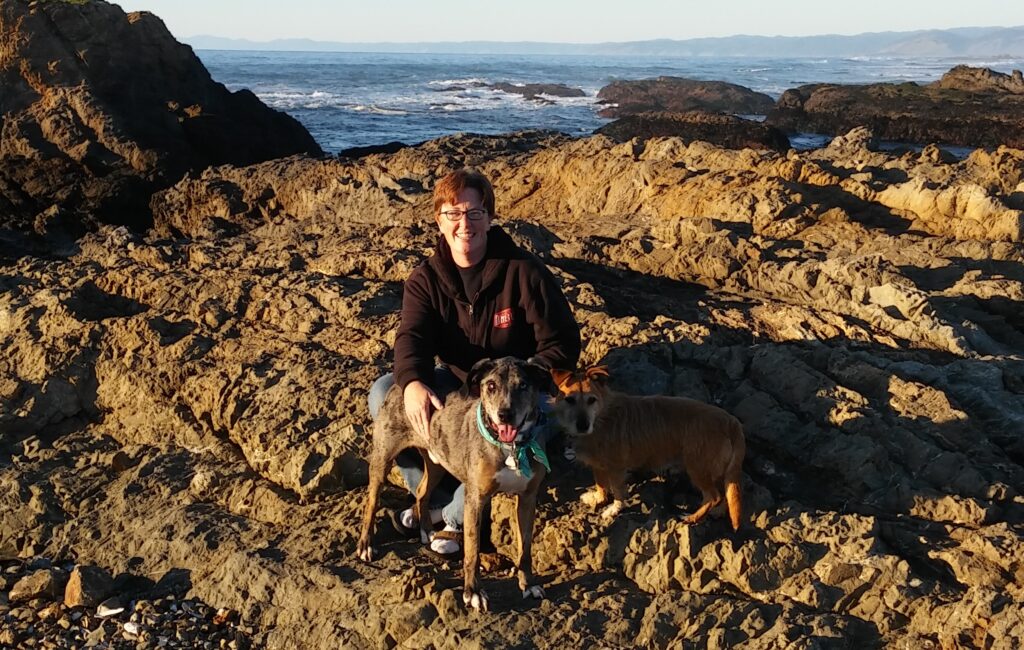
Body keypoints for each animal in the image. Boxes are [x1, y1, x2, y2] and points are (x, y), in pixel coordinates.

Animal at [358, 358, 552, 614]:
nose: (505, 415)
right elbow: (472, 551)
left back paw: (427, 530)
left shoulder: (528, 499)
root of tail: (402, 385)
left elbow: (525, 548)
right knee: (371, 502)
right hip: (383, 457)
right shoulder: (475, 499)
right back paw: (366, 545)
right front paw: (473, 593)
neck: (510, 447)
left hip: (437, 461)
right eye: (490, 386)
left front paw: (529, 585)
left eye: (523, 385)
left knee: (422, 491)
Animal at [552, 366, 745, 528]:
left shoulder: (616, 469)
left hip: (697, 467)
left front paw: (614, 509)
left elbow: (617, 492)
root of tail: (731, 421)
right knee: (723, 493)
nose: (582, 425)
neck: (601, 417)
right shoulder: (597, 466)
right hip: (714, 469)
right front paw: (597, 498)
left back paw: (692, 518)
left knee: (713, 496)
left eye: (592, 400)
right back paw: (717, 512)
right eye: (570, 400)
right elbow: (601, 485)